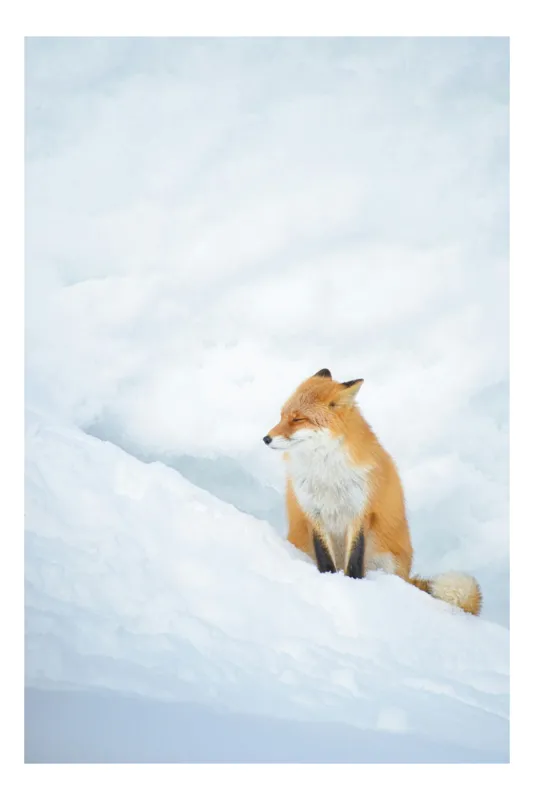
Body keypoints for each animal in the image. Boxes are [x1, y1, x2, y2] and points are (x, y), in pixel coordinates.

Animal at [263, 368, 482, 616]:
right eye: (282, 416)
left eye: (298, 419)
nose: (266, 438)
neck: (326, 473)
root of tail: (406, 576)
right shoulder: (313, 513)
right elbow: (325, 560)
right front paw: (329, 581)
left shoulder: (360, 512)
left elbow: (354, 562)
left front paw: (354, 588)